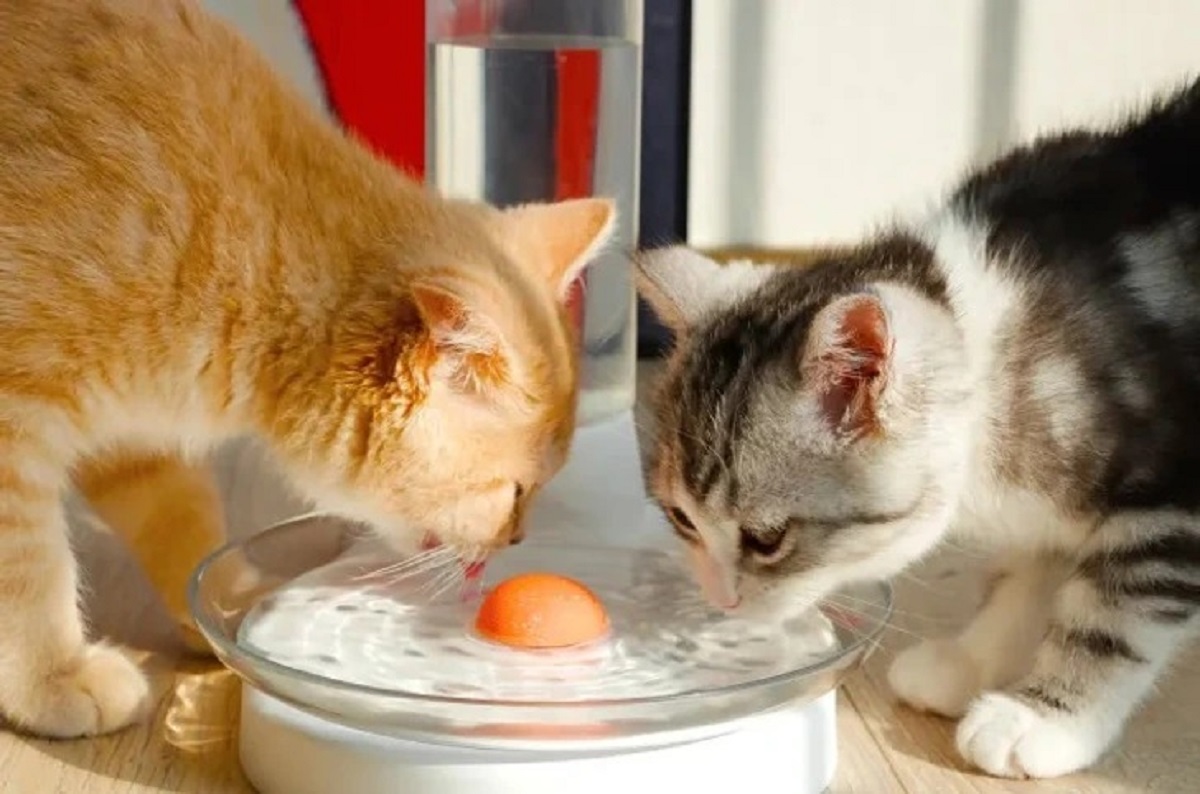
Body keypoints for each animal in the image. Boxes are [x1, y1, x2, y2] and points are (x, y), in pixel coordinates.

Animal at [0, 1, 614, 738]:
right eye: (517, 491)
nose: (518, 539)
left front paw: (224, 598)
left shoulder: (132, 427)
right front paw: (52, 676)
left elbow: (178, 511)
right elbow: (29, 567)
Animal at [643, 82, 1200, 782]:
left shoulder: (1170, 501)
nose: (721, 602)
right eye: (680, 519)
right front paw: (972, 660)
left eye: (766, 540)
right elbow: (1030, 571)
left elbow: (1115, 613)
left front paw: (1046, 717)